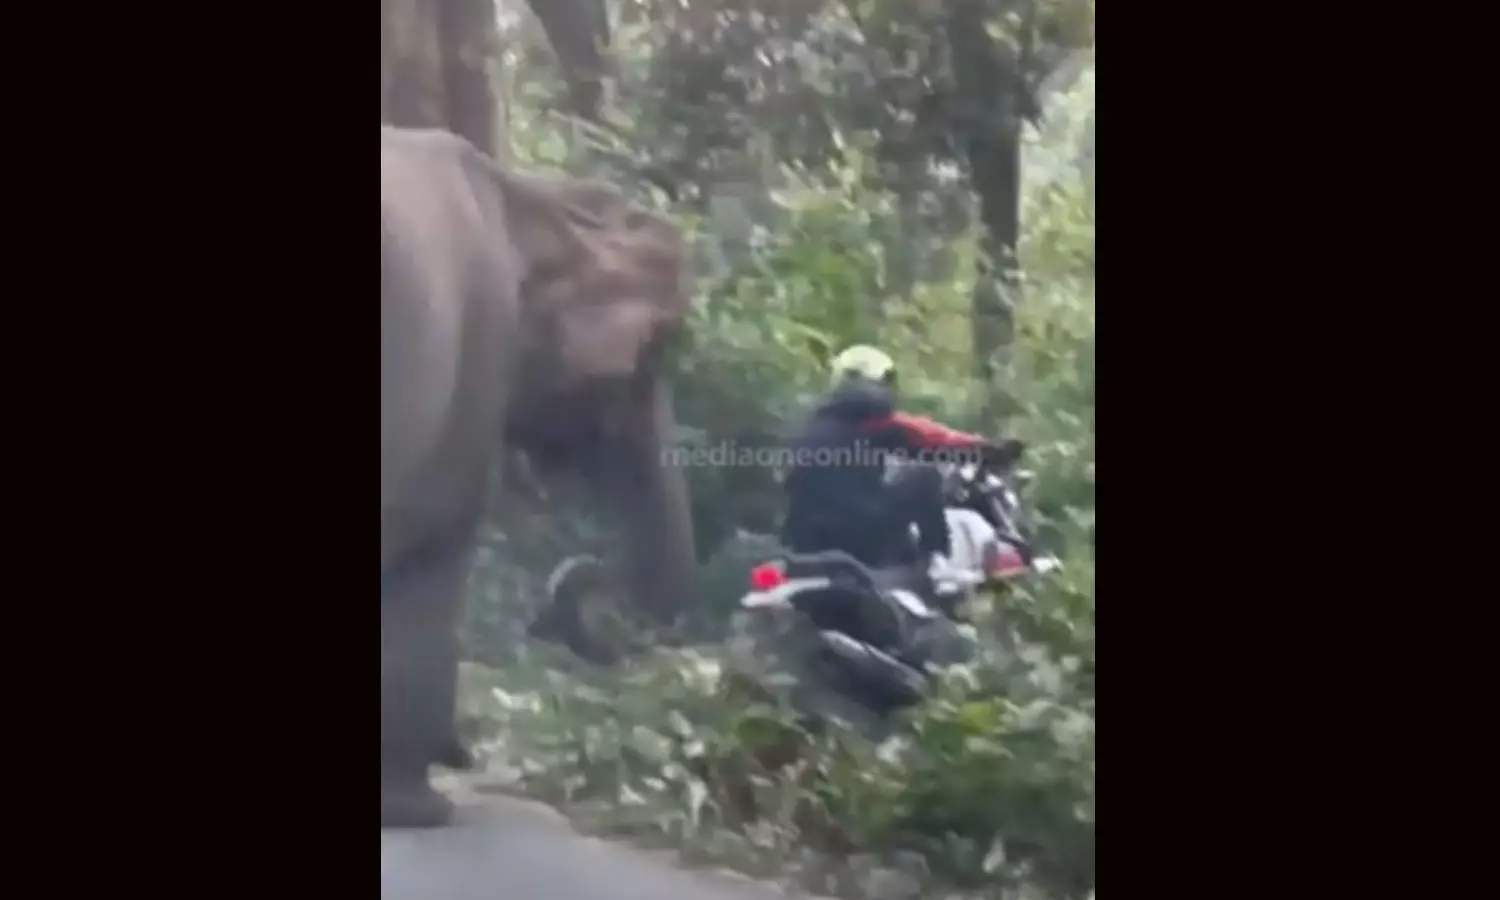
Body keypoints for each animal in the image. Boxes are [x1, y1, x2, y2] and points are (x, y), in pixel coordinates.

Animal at [381, 125, 697, 828]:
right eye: (643, 362)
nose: (463, 751)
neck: (530, 197)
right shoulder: (474, 362)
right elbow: (433, 550)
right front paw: (419, 810)